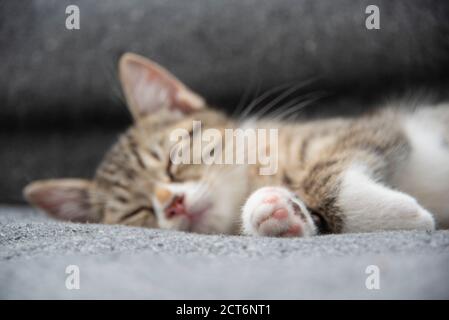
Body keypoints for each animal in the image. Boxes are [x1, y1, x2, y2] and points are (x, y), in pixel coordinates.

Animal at [23, 52, 448, 236]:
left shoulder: (370, 128)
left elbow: (325, 172)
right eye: (138, 211)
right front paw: (278, 213)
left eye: (172, 161)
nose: (171, 203)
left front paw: (399, 214)